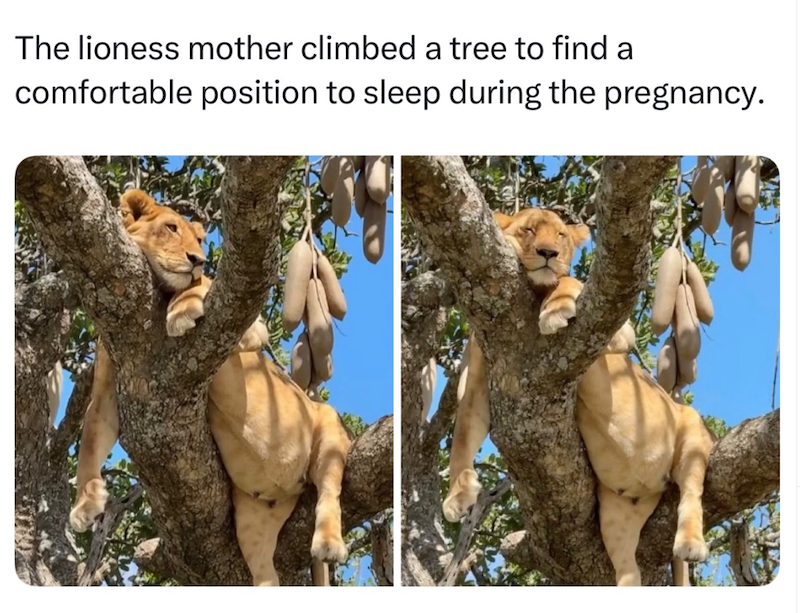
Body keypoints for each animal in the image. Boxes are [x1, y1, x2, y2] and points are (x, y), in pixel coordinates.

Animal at [69, 189, 351, 586]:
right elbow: (90, 445)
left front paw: (182, 309)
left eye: (200, 240)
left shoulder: (251, 331)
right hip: (253, 523)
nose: (197, 260)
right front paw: (84, 504)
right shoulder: (108, 395)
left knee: (329, 490)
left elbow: (201, 289)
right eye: (171, 228)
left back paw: (328, 543)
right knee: (265, 574)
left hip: (328, 433)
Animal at [442, 207, 714, 586]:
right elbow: (462, 438)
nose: (548, 254)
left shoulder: (617, 336)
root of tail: (656, 484)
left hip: (691, 435)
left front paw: (556, 308)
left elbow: (568, 283)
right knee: (628, 570)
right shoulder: (480, 386)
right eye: (528, 231)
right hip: (616, 519)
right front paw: (457, 495)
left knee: (691, 492)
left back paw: (691, 543)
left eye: (560, 236)